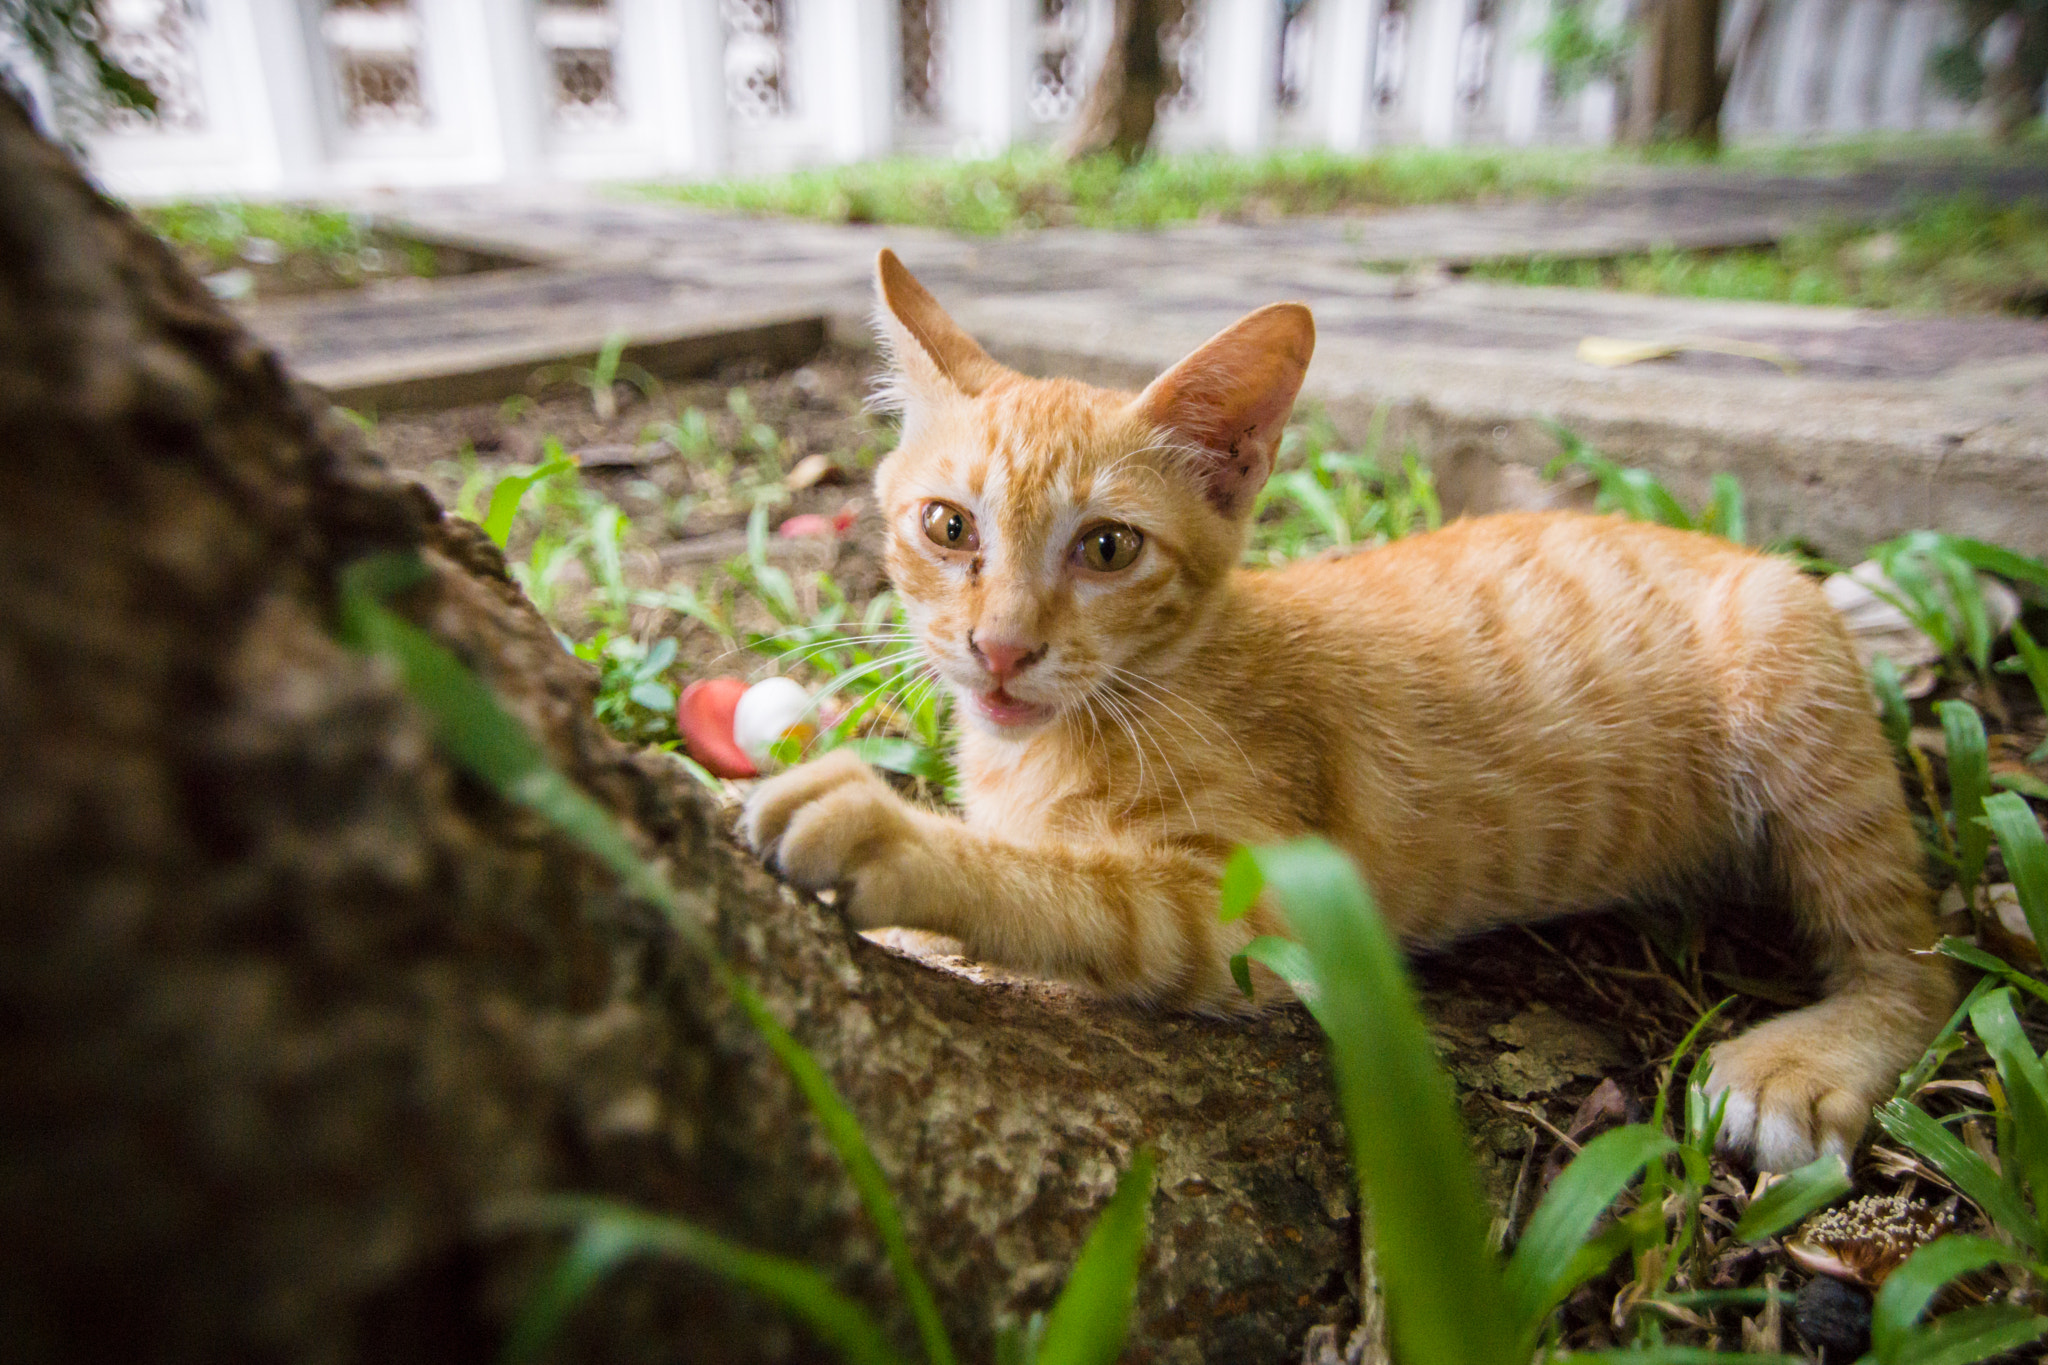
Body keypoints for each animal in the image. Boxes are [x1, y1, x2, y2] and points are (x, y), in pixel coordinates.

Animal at [749, 250, 1949, 1170]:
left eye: (1107, 548)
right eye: (948, 527)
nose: (1000, 648)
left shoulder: (1259, 912)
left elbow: (1071, 892)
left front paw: (895, 839)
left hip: (1792, 684)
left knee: (1918, 964)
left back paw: (1807, 1058)